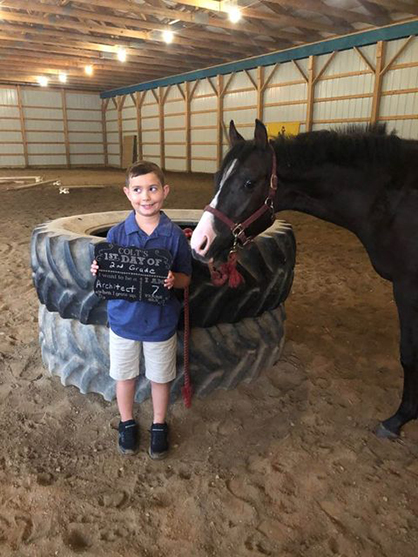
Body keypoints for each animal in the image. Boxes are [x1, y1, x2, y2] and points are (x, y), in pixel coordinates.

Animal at [191, 118, 418, 438]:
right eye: (217, 179)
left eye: (249, 183)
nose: (199, 243)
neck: (395, 199)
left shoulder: (408, 286)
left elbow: (409, 354)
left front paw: (398, 419)